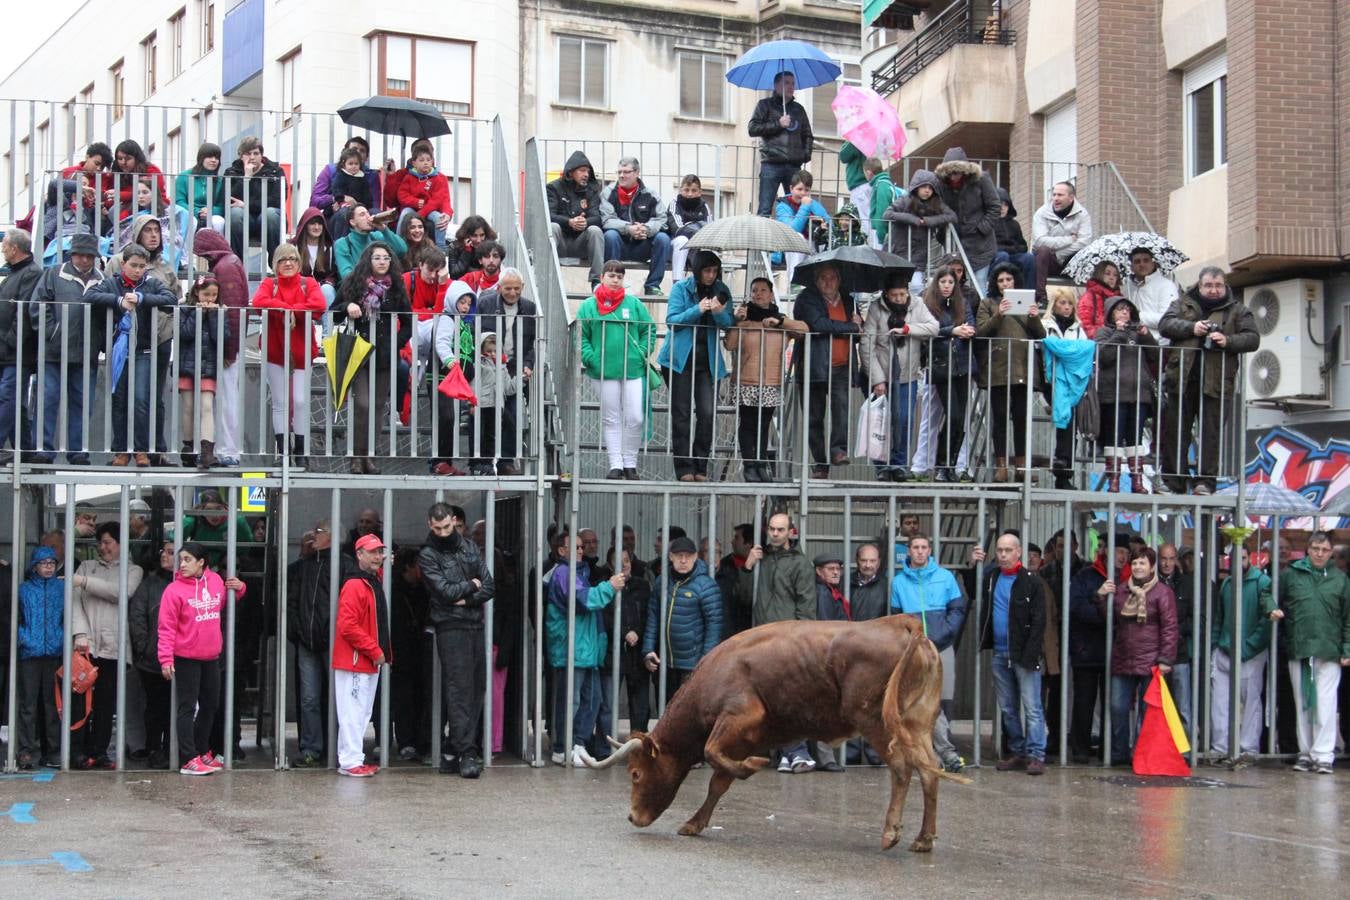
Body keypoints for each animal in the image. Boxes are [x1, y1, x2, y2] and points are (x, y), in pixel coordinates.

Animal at [583, 615, 961, 858]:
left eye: (635, 774)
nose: (633, 817)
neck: (715, 674)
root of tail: (900, 623)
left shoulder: (741, 716)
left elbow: (713, 752)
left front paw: (752, 766)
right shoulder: (743, 736)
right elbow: (718, 781)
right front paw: (694, 823)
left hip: (876, 722)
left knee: (901, 769)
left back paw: (891, 832)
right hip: (917, 724)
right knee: (929, 772)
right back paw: (924, 839)